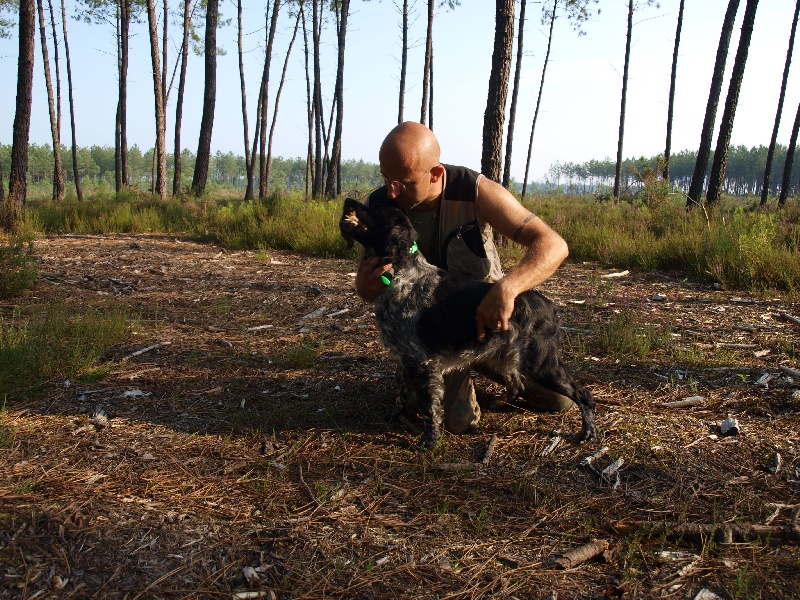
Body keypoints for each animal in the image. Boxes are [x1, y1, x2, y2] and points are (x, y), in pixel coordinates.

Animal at [340, 199, 596, 448]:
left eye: (375, 210)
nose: (348, 200)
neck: (404, 274)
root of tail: (549, 305)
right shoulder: (405, 359)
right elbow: (401, 395)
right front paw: (396, 417)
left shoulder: (422, 363)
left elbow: (430, 408)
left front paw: (430, 441)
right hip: (502, 358)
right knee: (518, 384)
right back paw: (498, 403)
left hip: (541, 364)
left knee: (584, 394)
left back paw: (588, 432)